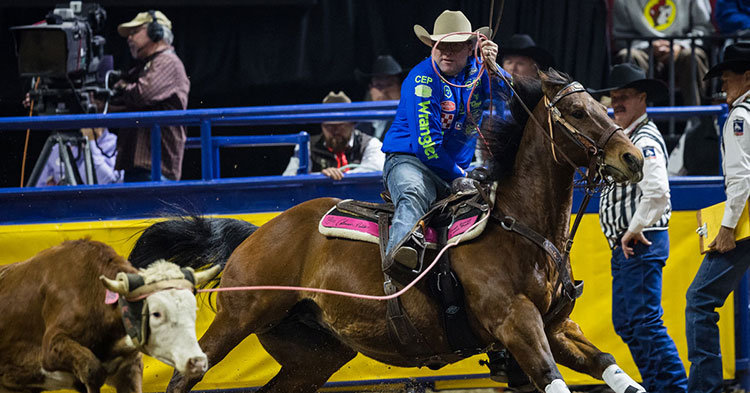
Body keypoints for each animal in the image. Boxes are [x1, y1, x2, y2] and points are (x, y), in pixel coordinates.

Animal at [160, 70, 648, 392]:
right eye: (576, 111)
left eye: (603, 107)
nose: (633, 158)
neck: (518, 228)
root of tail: (256, 234)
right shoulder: (516, 322)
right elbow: (551, 377)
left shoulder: (557, 327)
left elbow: (610, 365)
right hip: (237, 318)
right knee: (184, 376)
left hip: (314, 353)